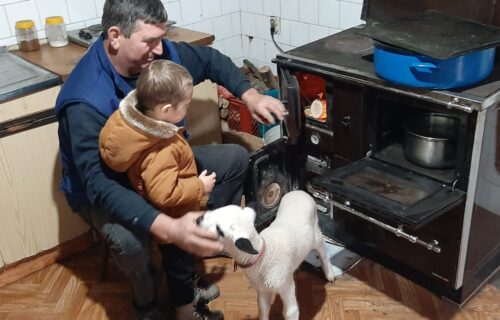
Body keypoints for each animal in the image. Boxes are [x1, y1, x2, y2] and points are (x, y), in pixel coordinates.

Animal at [197, 191, 334, 318]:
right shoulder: (262, 289)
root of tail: (300, 192)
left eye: (219, 229)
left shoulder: (286, 285)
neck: (263, 256)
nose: (197, 220)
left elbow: (290, 312)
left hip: (315, 233)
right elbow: (263, 307)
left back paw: (329, 274)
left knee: (322, 248)